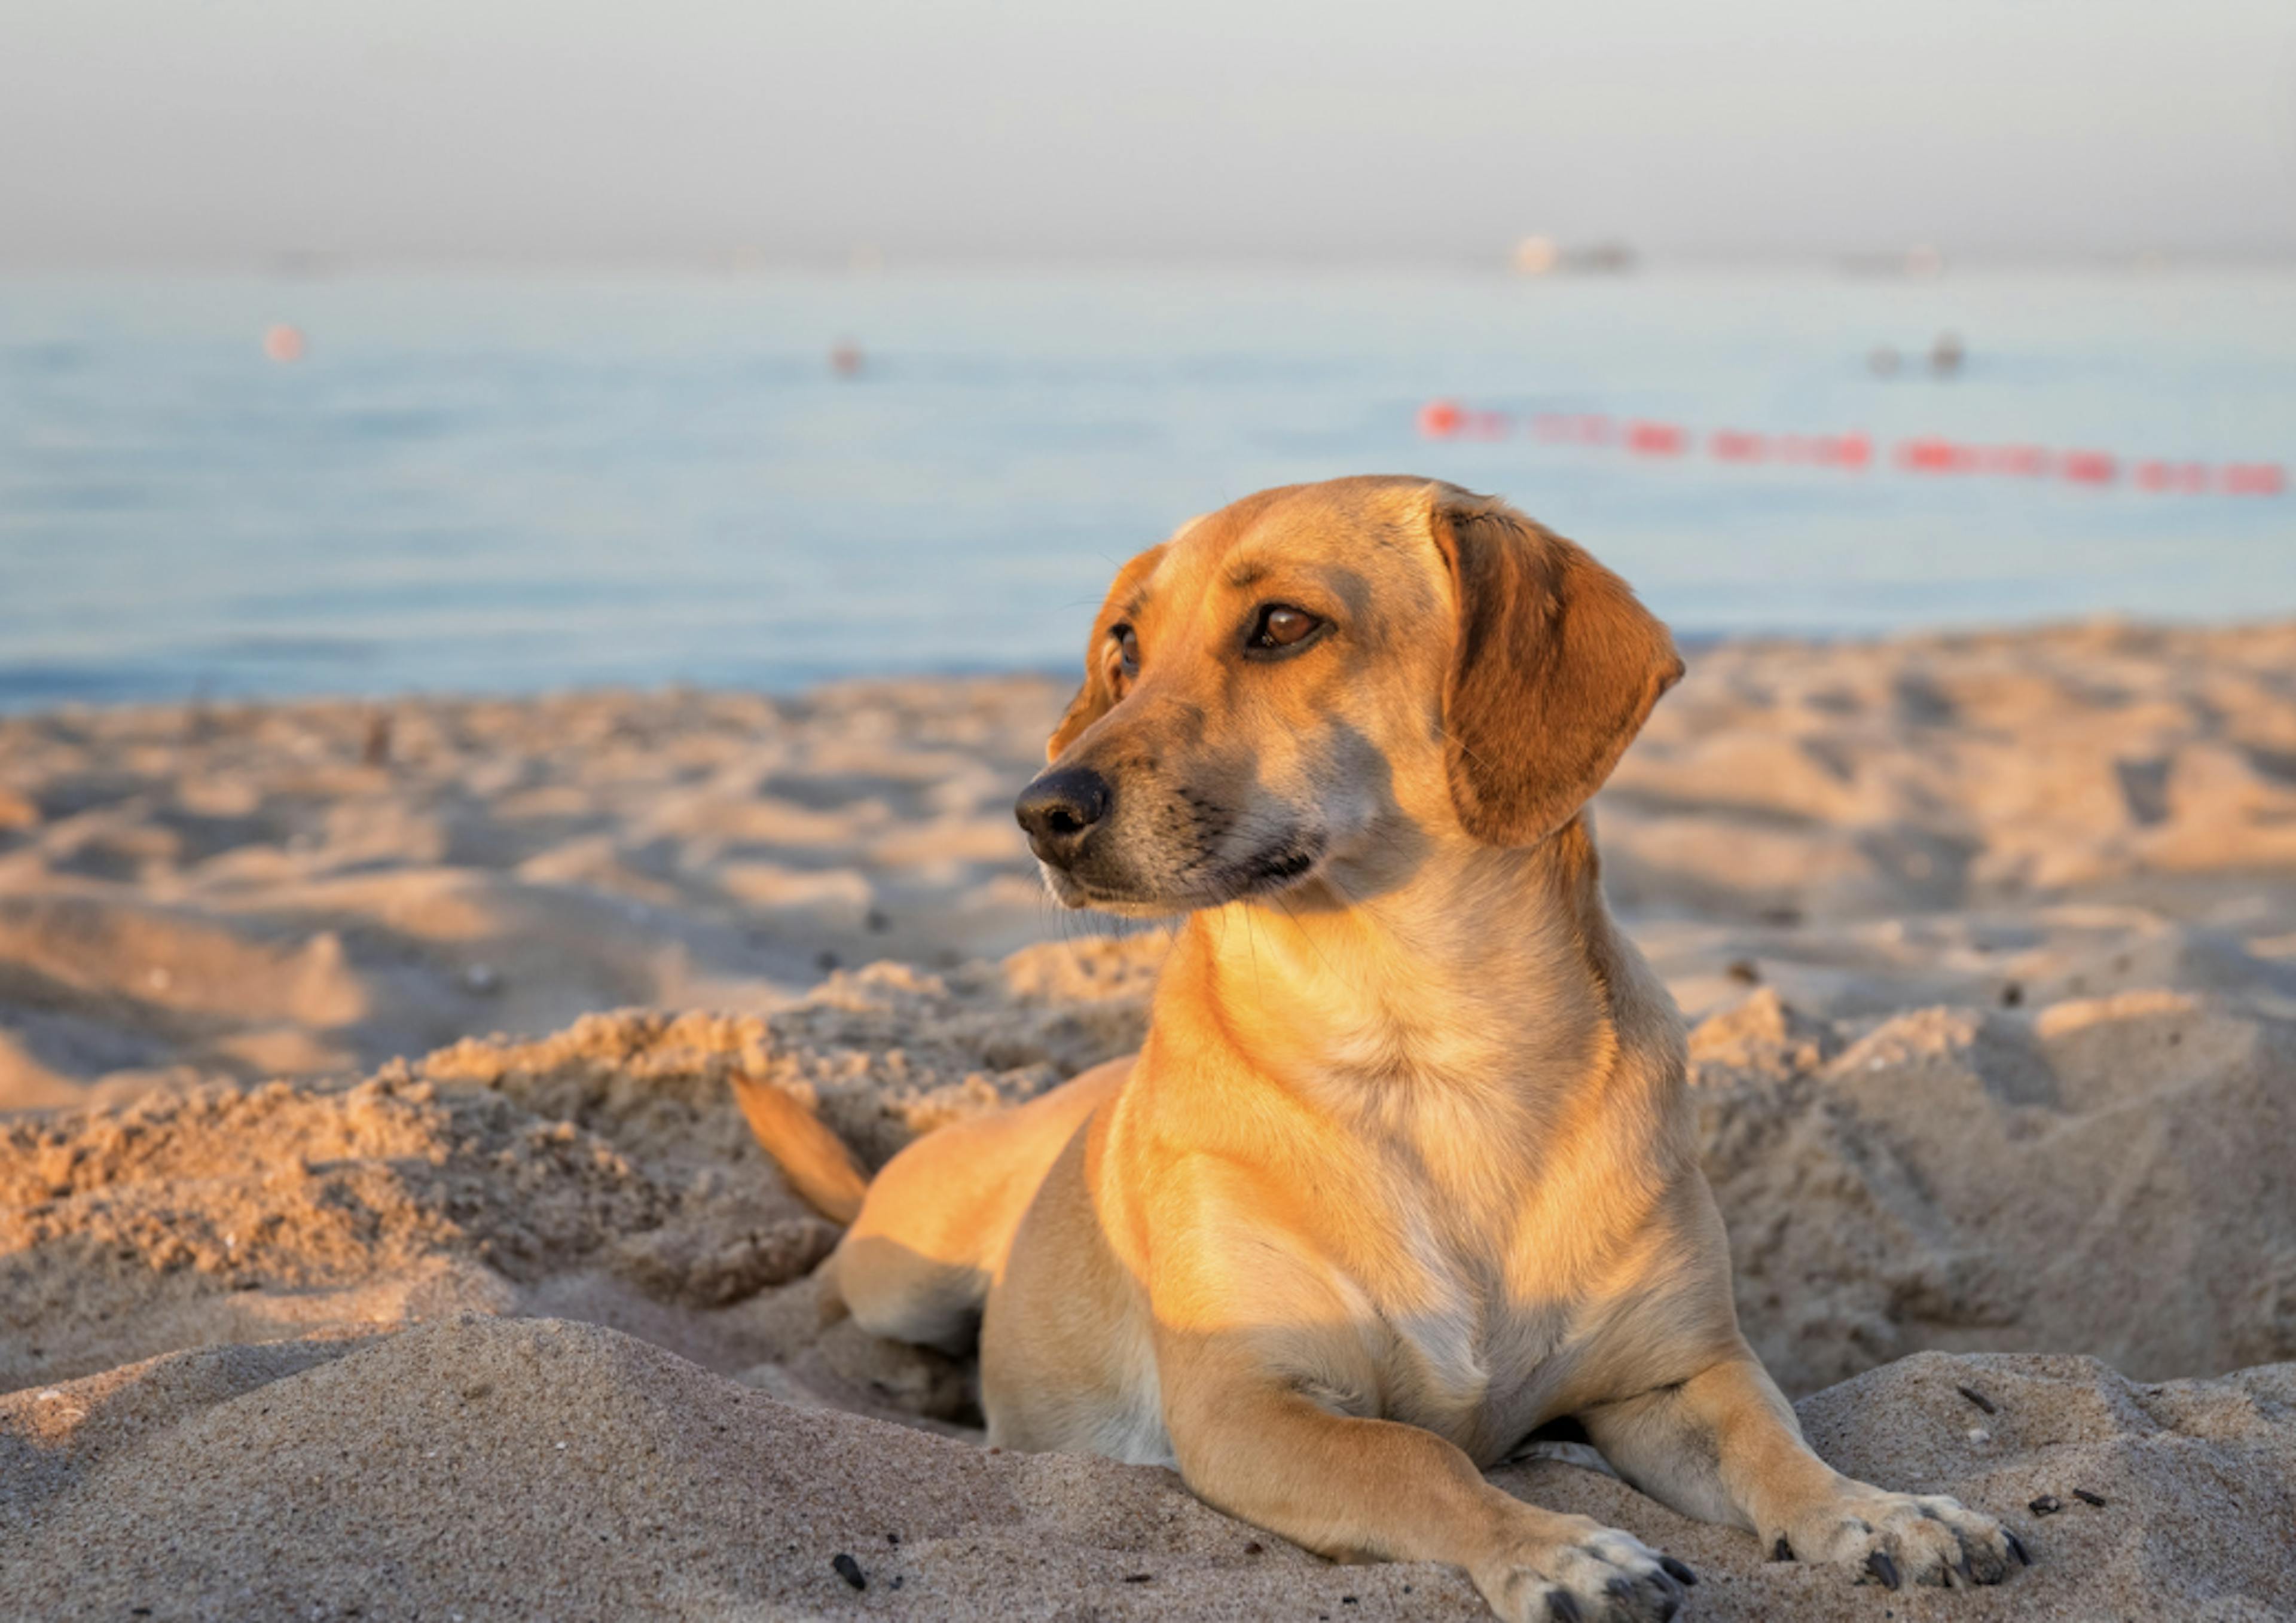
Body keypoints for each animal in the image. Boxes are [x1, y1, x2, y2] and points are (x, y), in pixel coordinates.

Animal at [739, 479, 2029, 1623]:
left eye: (1283, 625)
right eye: (1123, 646)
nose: (1042, 810)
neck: (1424, 1046)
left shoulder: (1680, 1374)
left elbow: (1779, 1444)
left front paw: (1880, 1511)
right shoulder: (1249, 1406)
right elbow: (1420, 1462)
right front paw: (1557, 1550)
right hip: (908, 1272)